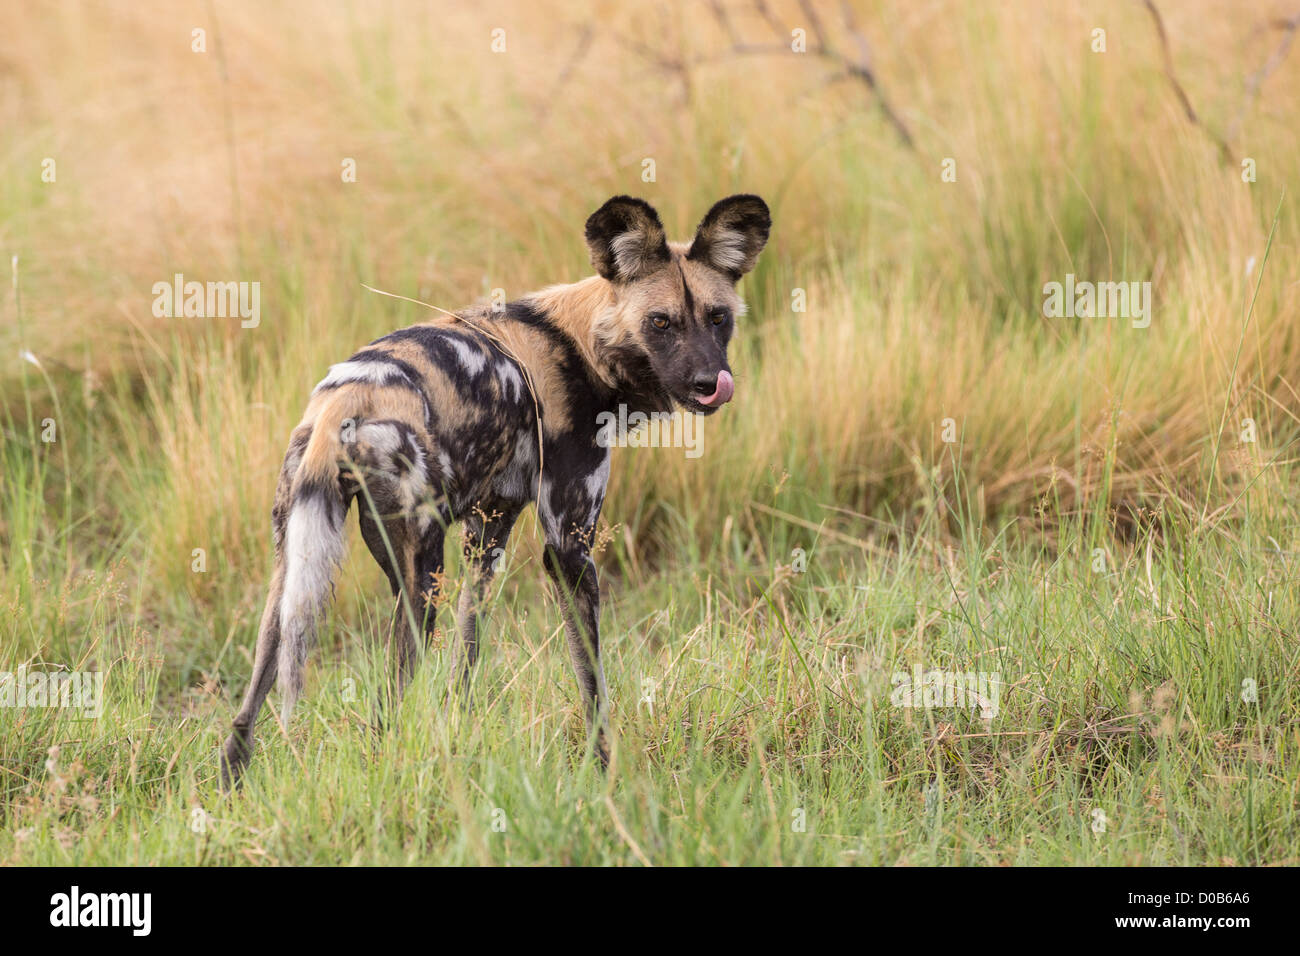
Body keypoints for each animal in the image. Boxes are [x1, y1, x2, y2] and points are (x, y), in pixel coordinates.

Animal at [220, 192, 769, 785]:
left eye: (718, 318)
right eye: (661, 322)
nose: (710, 383)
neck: (581, 344)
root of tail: (346, 400)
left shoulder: (488, 531)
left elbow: (466, 655)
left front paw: (457, 729)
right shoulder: (568, 549)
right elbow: (592, 680)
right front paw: (603, 769)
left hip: (292, 568)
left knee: (250, 702)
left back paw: (231, 787)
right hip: (419, 581)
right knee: (386, 706)